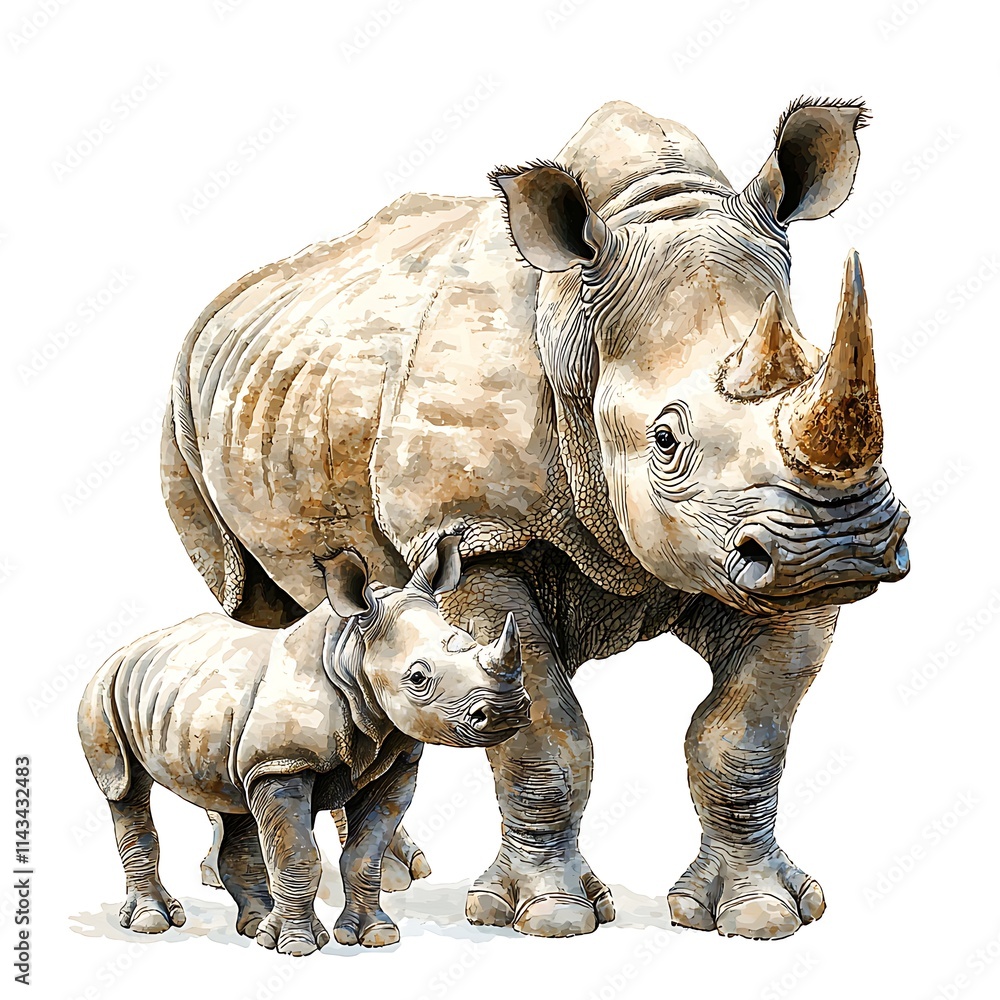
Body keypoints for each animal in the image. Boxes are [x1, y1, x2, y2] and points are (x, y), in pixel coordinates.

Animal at [78, 536, 530, 953]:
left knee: (233, 801)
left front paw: (375, 936)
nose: (508, 711)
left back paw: (253, 926)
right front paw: (296, 946)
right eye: (418, 678)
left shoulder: (395, 762)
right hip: (103, 692)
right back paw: (153, 922)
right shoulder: (284, 762)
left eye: (470, 643)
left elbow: (364, 855)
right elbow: (298, 854)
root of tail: (128, 649)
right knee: (125, 788)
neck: (350, 651)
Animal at [161, 97, 910, 941]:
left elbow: (742, 737)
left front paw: (762, 914)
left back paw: (390, 870)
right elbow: (545, 737)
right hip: (180, 404)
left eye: (817, 366)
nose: (843, 546)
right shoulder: (474, 535)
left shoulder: (773, 555)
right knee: (247, 611)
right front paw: (546, 916)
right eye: (665, 439)